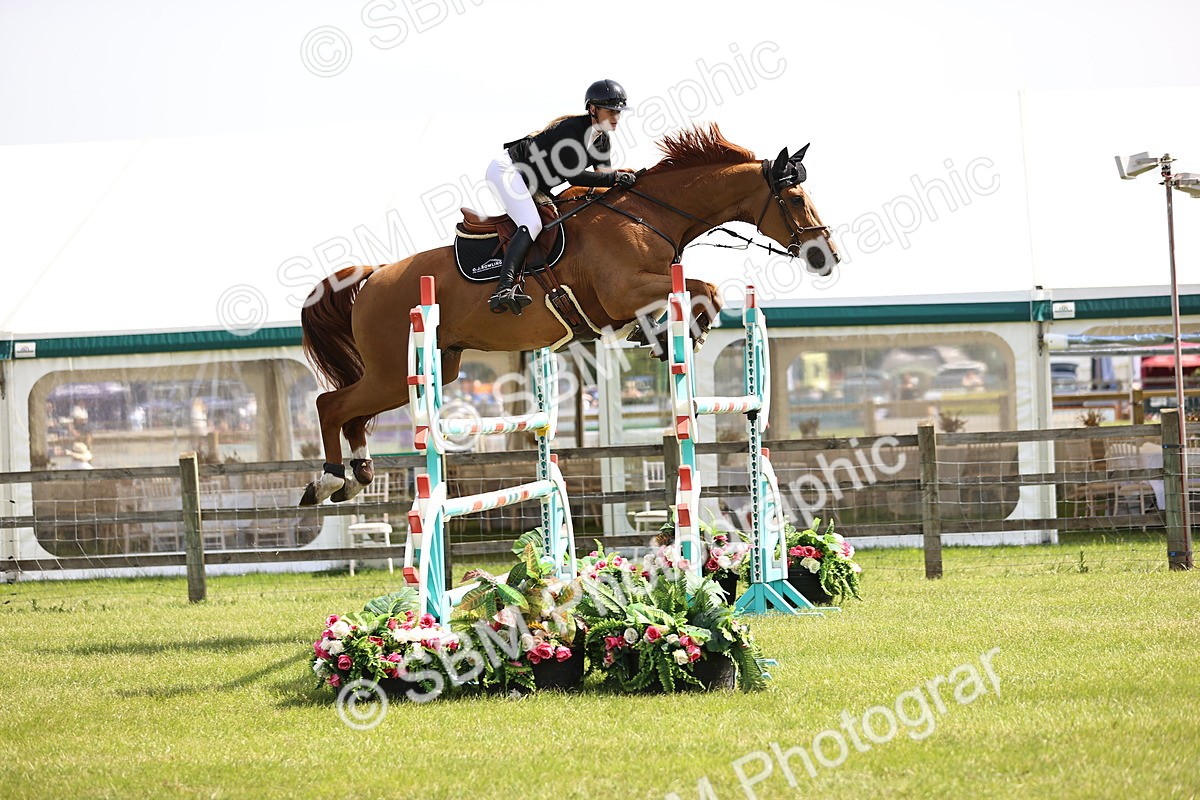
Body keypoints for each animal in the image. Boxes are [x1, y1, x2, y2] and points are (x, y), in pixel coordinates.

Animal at [297, 123, 839, 506]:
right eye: (794, 197)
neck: (649, 216)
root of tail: (373, 277)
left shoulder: (631, 296)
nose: (825, 257)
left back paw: (358, 477)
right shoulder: (623, 291)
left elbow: (702, 295)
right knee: (331, 405)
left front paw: (663, 336)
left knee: (352, 413)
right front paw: (676, 335)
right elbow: (705, 290)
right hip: (393, 369)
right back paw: (328, 481)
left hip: (432, 367)